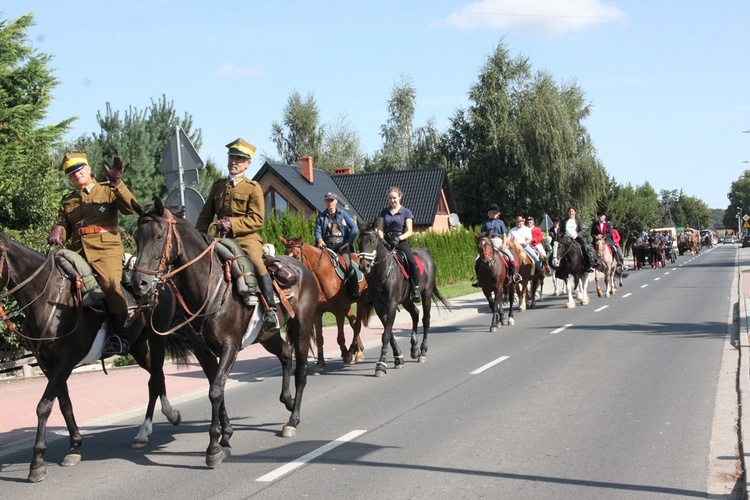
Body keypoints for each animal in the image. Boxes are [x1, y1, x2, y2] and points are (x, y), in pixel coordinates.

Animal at [0, 232, 187, 482]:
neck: (49, 297)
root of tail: (161, 282)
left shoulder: (65, 361)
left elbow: (44, 406)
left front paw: (37, 462)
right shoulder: (48, 365)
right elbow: (65, 404)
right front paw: (74, 447)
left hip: (158, 338)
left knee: (155, 378)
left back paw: (155, 424)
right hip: (137, 346)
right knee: (157, 377)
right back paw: (159, 422)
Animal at [280, 236, 366, 374]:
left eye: (297, 257)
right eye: (285, 256)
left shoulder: (338, 311)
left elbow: (340, 337)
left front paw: (346, 355)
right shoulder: (317, 313)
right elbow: (320, 339)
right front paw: (320, 364)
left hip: (360, 301)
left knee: (357, 324)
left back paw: (356, 352)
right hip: (347, 306)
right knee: (353, 323)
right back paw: (358, 350)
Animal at [358, 221, 452, 376]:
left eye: (373, 241)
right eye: (359, 242)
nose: (364, 266)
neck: (383, 273)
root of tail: (425, 251)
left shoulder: (391, 304)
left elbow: (386, 334)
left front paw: (381, 365)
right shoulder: (379, 307)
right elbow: (389, 333)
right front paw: (398, 359)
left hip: (426, 294)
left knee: (425, 319)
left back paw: (423, 352)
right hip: (407, 300)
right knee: (415, 314)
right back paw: (414, 349)